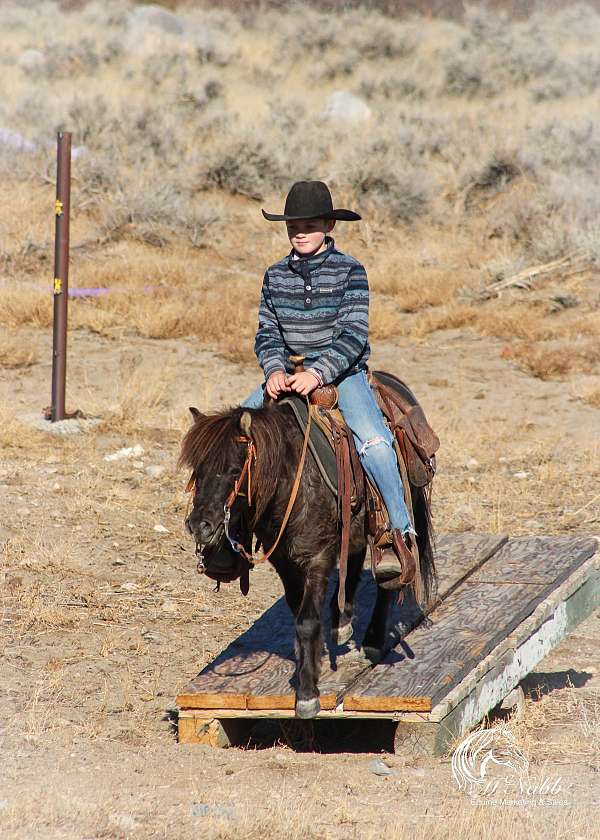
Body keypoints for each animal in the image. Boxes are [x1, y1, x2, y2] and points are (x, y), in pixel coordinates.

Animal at [179, 404, 436, 720]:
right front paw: (309, 664)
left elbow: (307, 620)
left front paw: (307, 693)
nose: (198, 525)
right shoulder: (284, 561)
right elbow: (297, 611)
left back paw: (373, 641)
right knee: (353, 560)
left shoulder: (318, 557)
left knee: (388, 578)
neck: (291, 480)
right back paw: (342, 622)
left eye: (234, 470)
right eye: (197, 470)